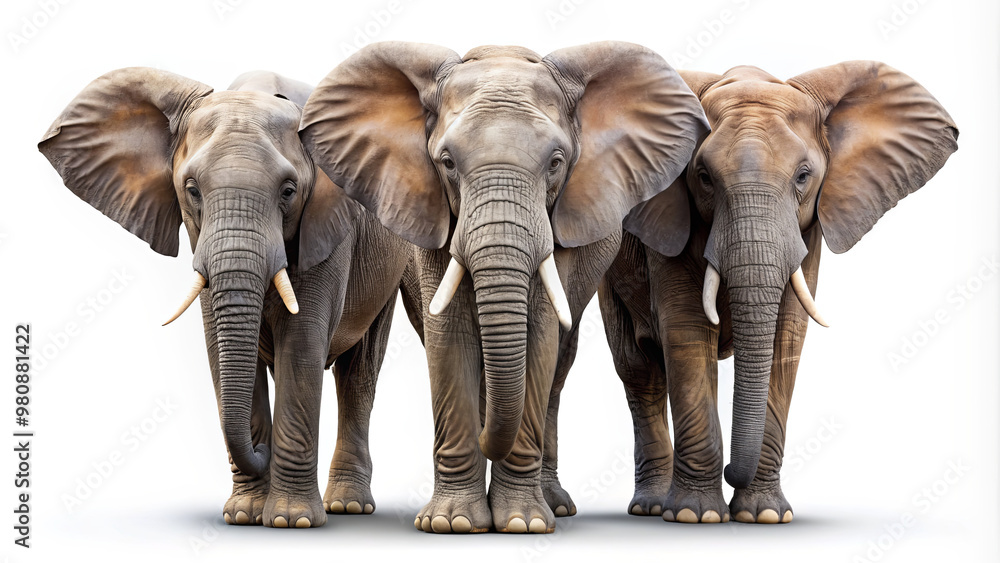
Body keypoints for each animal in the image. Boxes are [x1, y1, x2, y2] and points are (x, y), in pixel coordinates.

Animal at [38, 68, 413, 527]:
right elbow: (220, 347)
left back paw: (348, 506)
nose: (261, 449)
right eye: (192, 189)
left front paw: (291, 521)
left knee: (358, 373)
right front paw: (245, 515)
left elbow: (302, 342)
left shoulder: (325, 228)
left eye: (289, 191)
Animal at [299, 41, 708, 533]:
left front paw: (520, 523)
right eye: (447, 163)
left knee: (558, 364)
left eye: (556, 164)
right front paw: (452, 523)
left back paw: (554, 505)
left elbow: (539, 334)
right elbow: (450, 335)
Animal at [590, 62, 958, 523]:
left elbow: (788, 336)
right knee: (639, 370)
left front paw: (762, 515)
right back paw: (652, 506)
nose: (732, 470)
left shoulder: (809, 230)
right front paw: (697, 515)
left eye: (803, 176)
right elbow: (687, 331)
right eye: (703, 178)